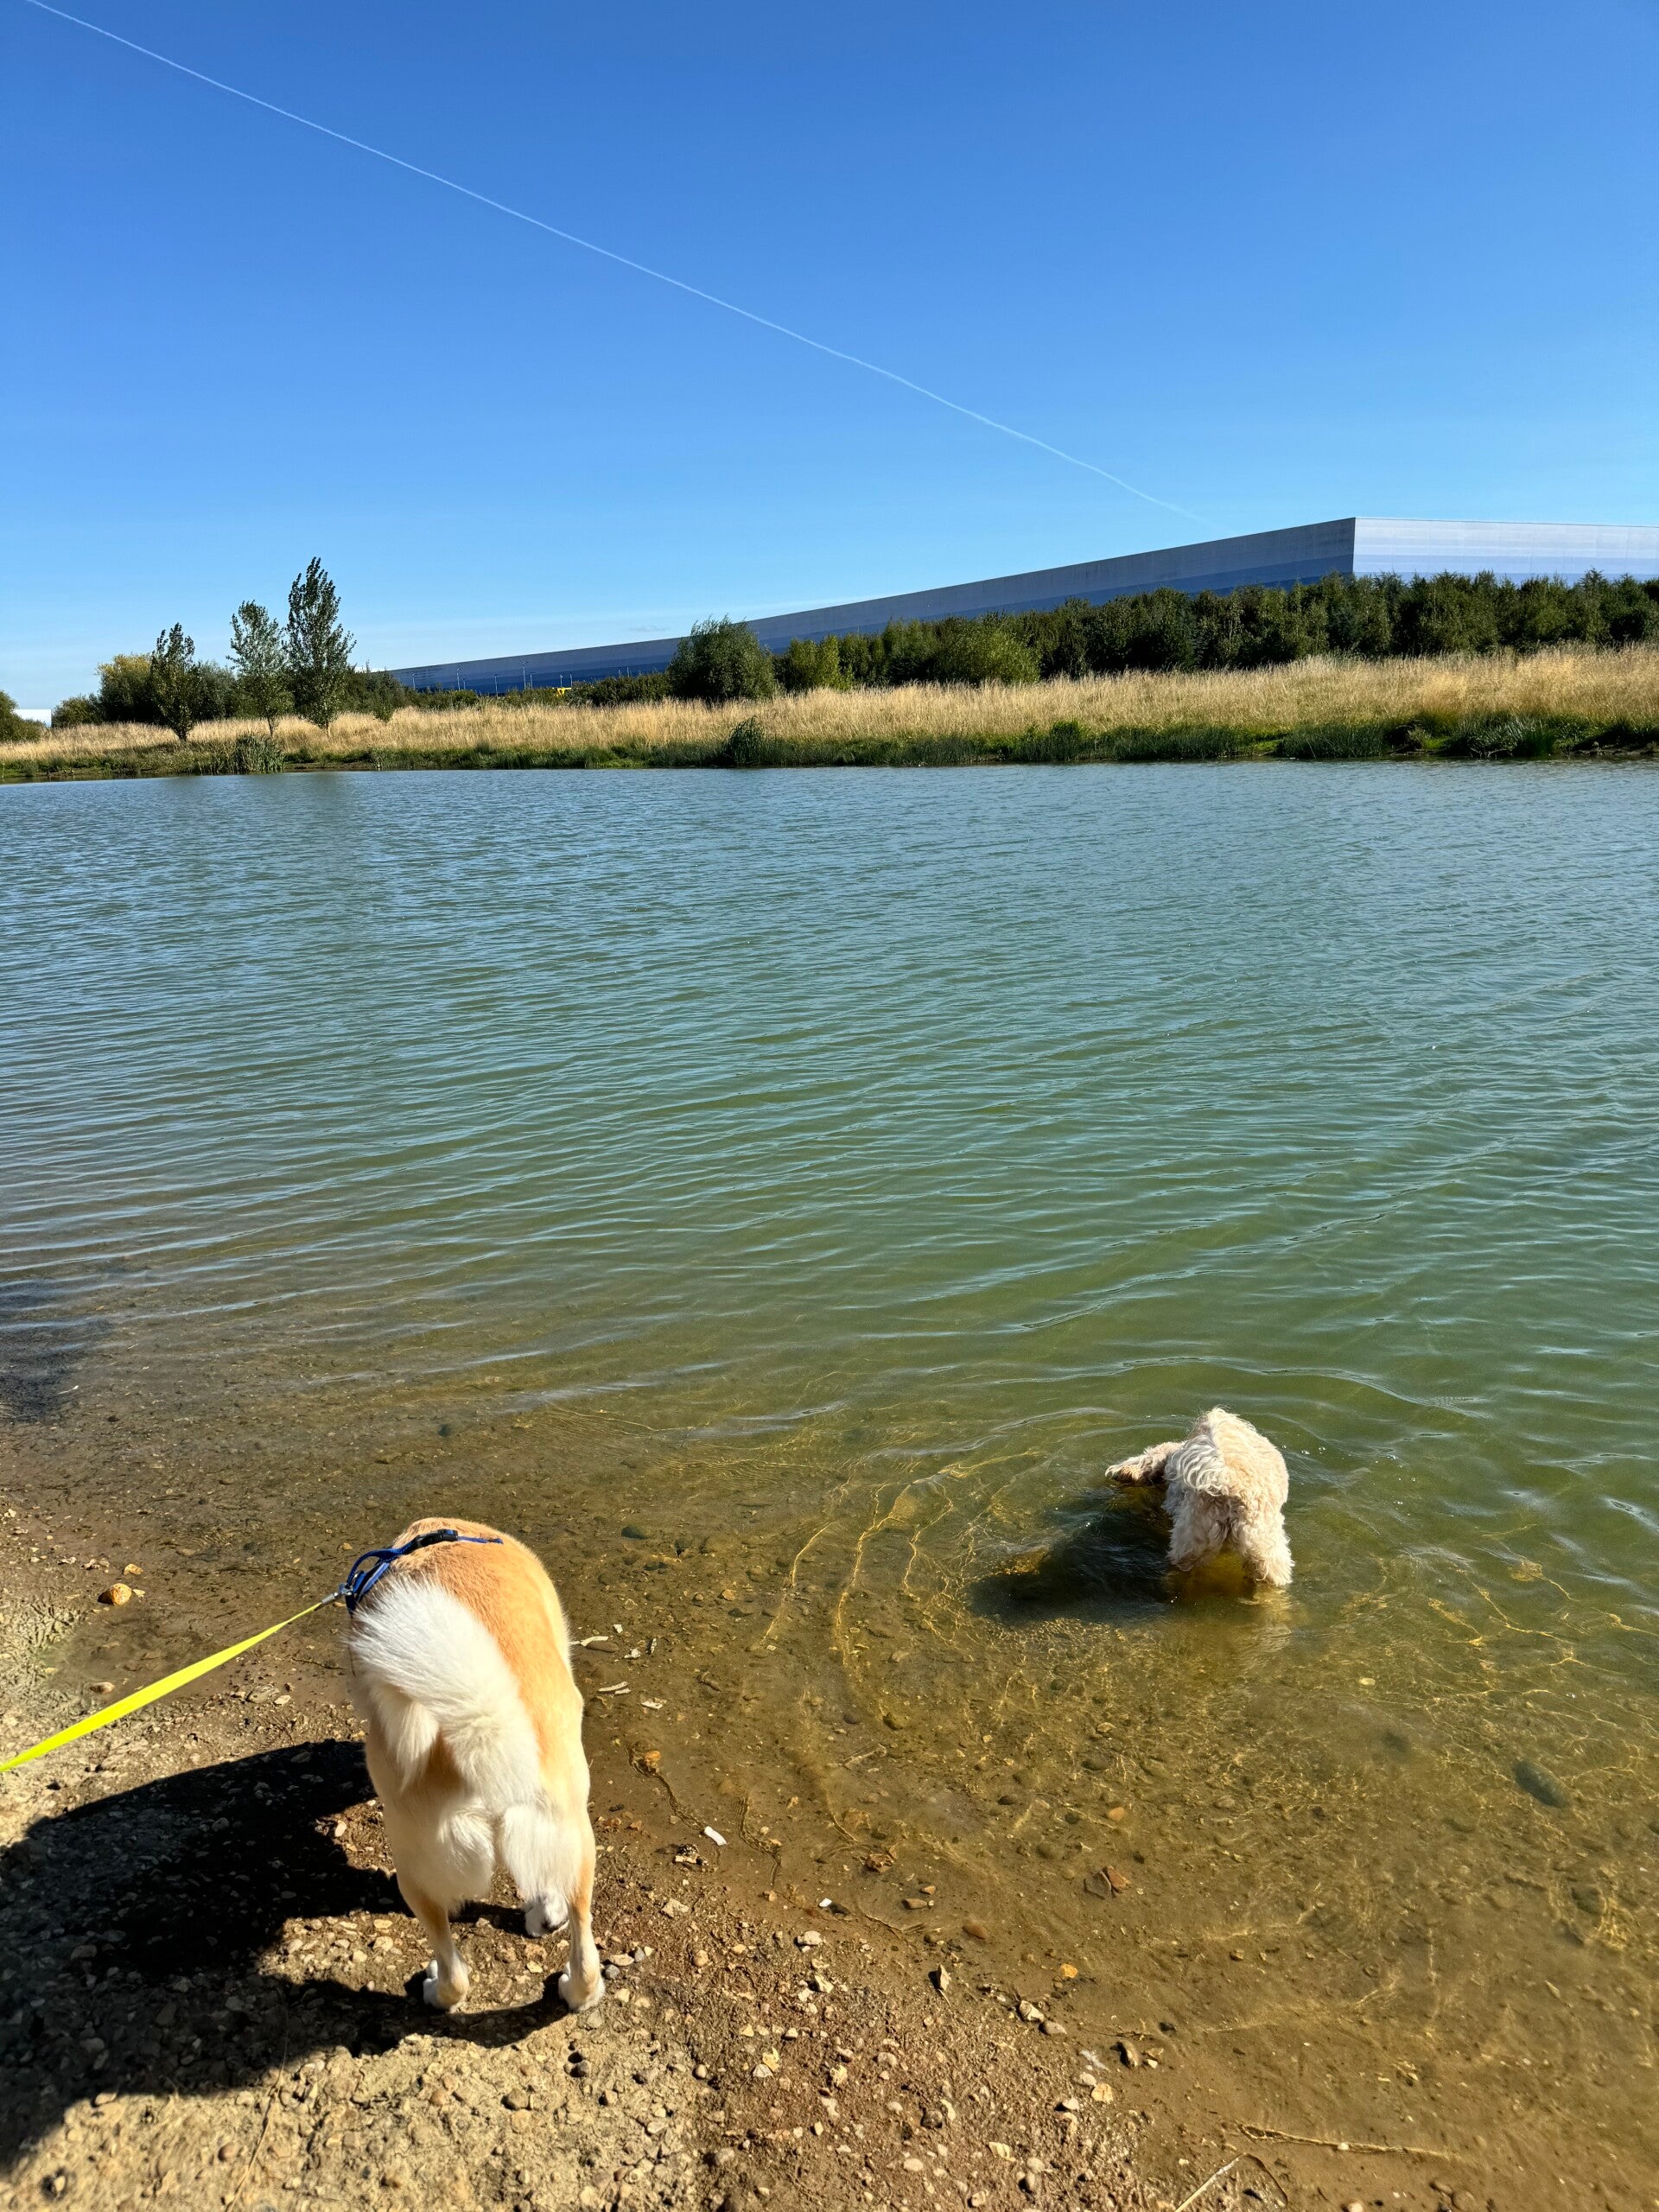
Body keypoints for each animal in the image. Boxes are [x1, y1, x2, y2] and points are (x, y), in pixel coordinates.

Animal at [343, 1515, 602, 2013]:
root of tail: (484, 1741)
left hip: (414, 1868)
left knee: (453, 1966)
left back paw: (436, 1990)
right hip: (573, 1835)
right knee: (584, 1948)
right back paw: (567, 1971)